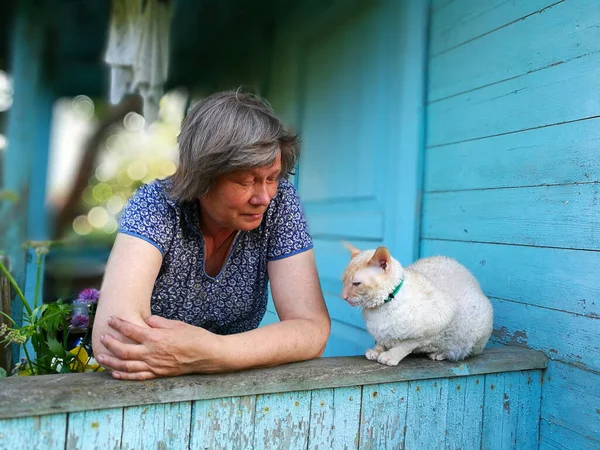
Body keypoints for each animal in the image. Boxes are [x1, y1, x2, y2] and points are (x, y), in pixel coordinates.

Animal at [342, 244, 492, 368]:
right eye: (343, 282)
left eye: (356, 284)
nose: (343, 296)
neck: (377, 310)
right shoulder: (380, 333)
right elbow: (380, 341)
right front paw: (376, 351)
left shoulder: (435, 326)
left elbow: (406, 345)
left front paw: (390, 356)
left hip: (472, 331)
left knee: (460, 352)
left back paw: (439, 354)